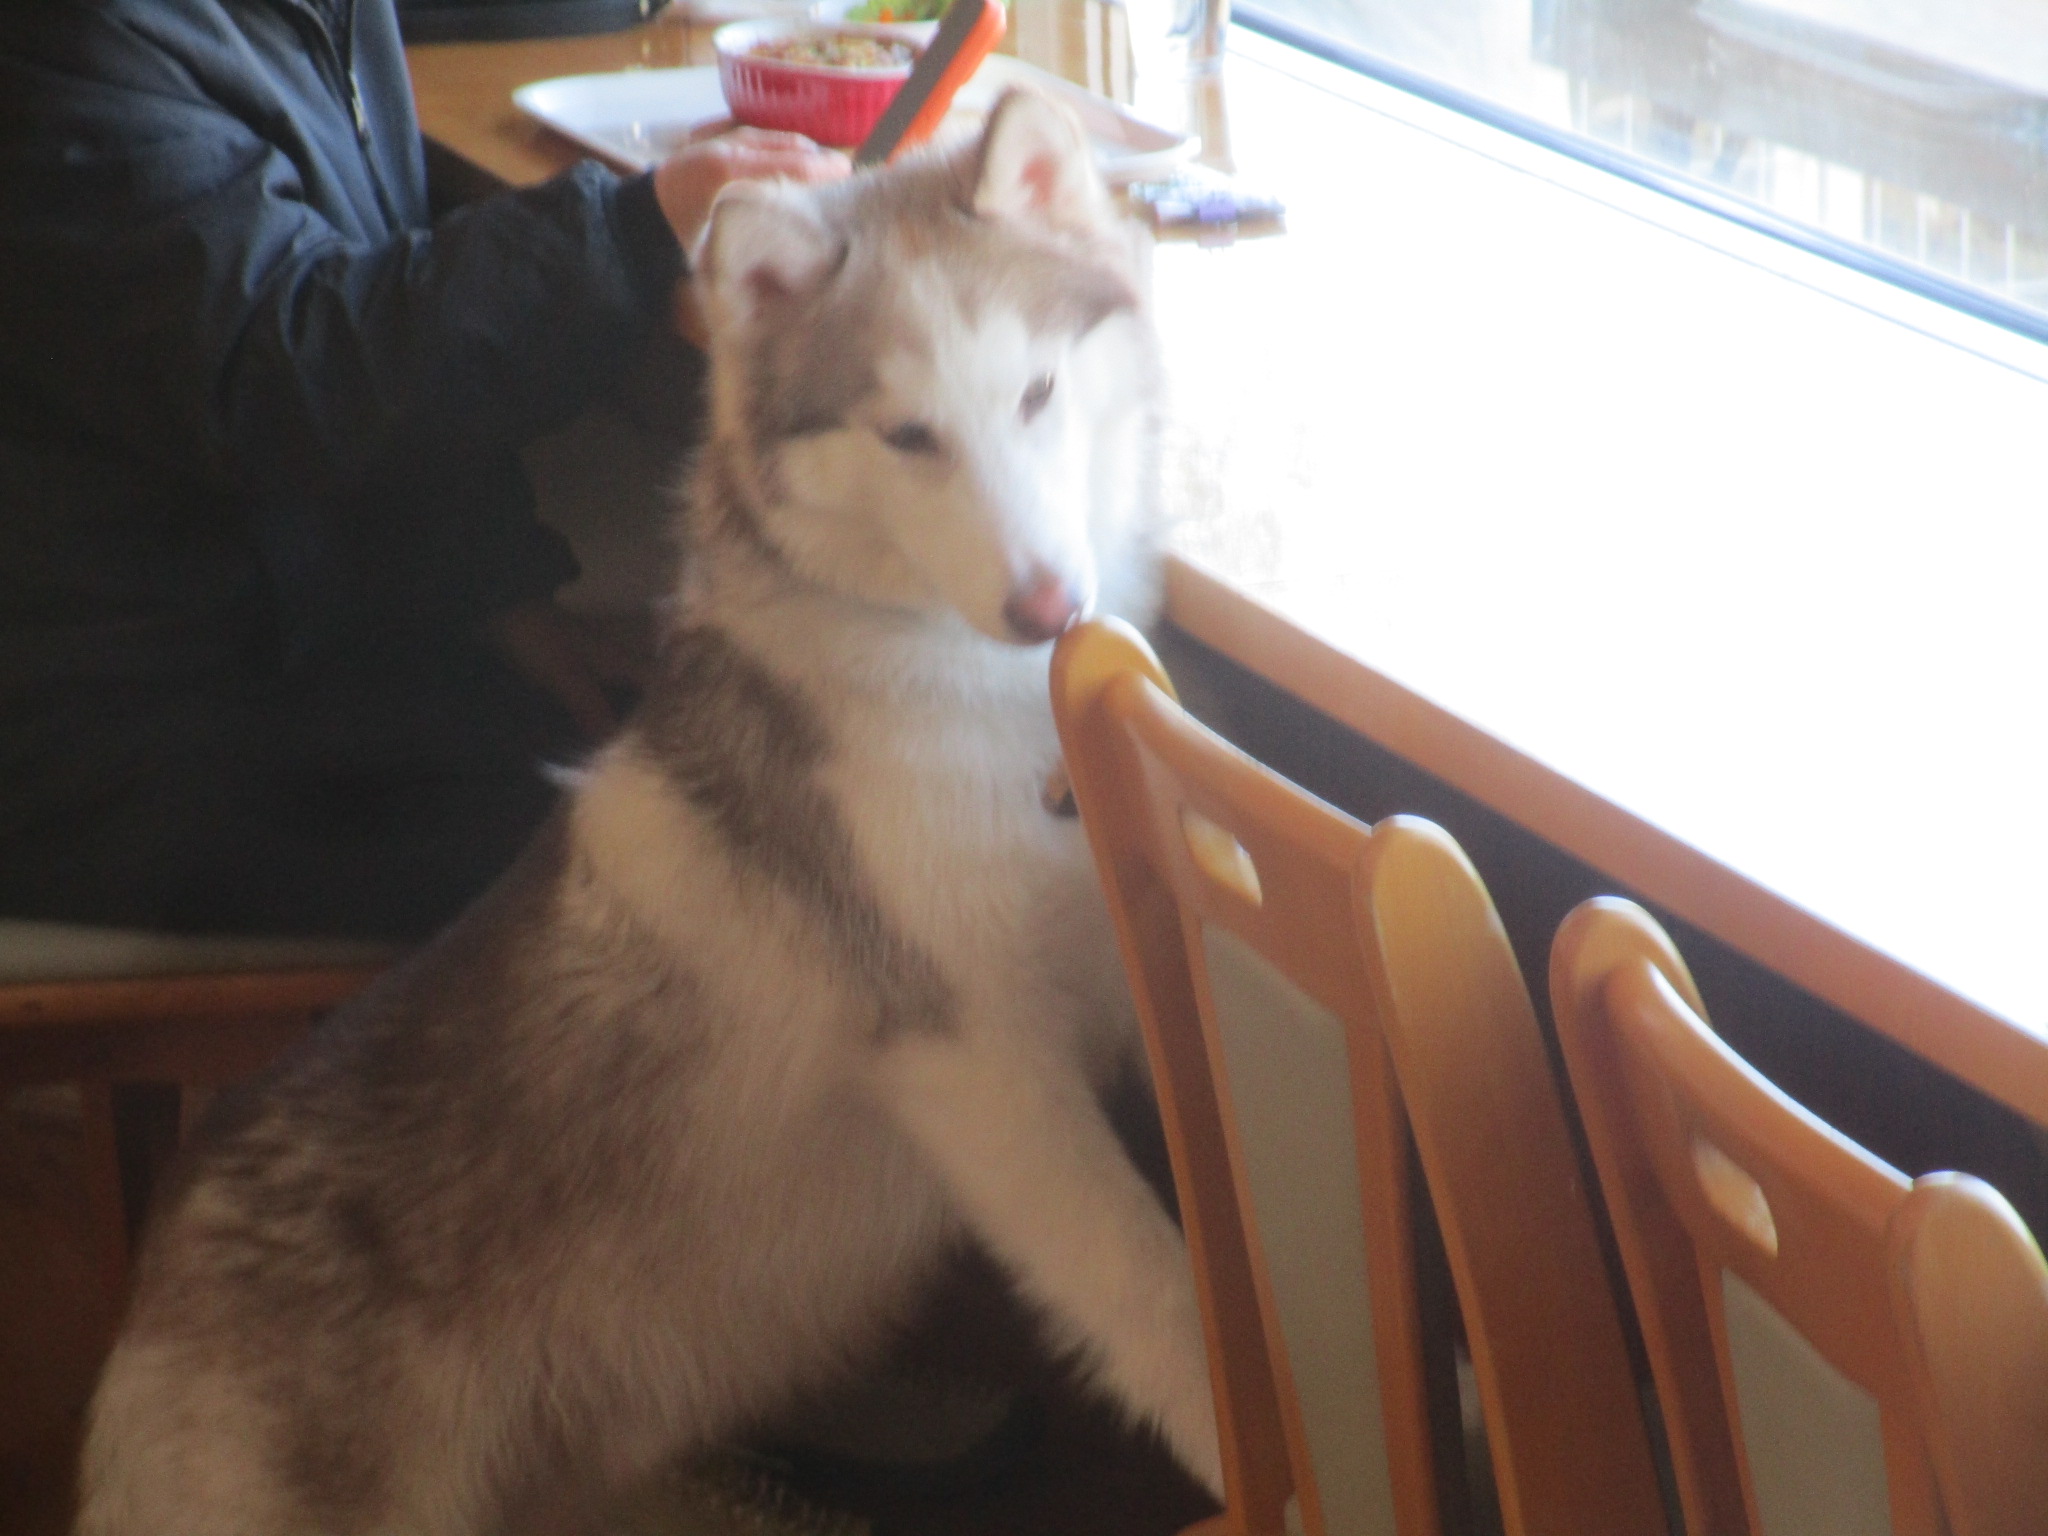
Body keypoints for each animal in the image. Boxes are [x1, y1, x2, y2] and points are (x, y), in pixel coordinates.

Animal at [76, 89, 1222, 1536]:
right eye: (909, 437)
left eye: (1036, 395)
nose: (1047, 607)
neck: (995, 707)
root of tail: (154, 1280)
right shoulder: (978, 1062)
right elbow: (1152, 1289)